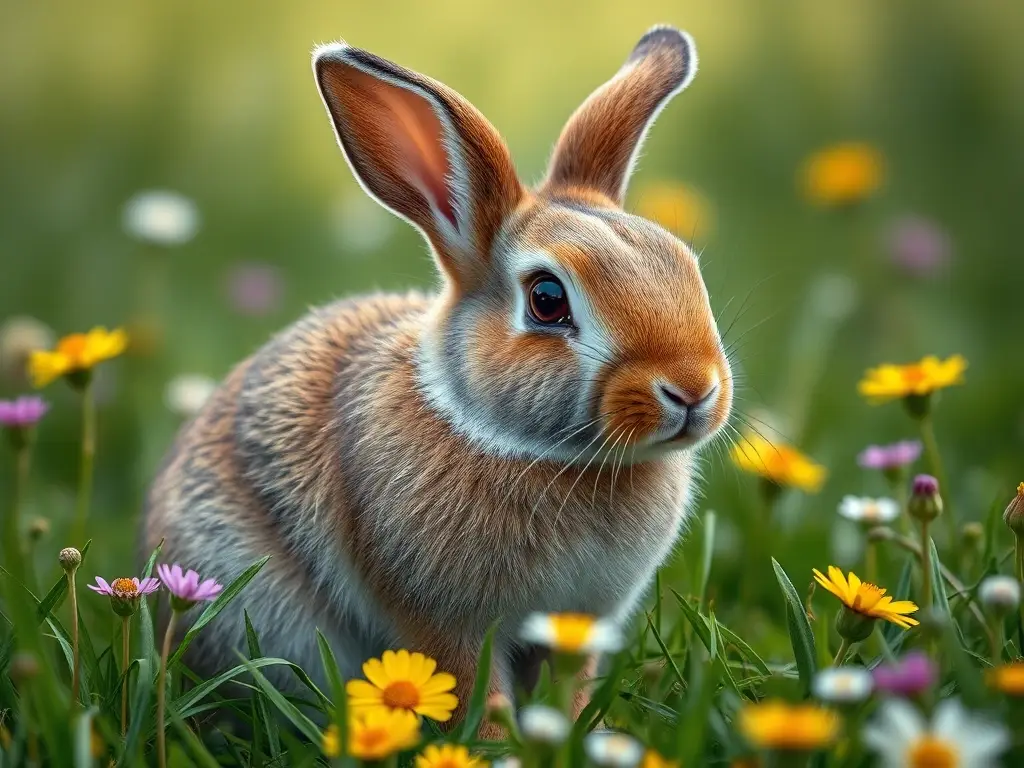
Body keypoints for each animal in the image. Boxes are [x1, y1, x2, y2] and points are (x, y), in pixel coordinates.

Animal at [141, 23, 733, 730]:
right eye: (547, 300)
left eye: (686, 265)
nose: (693, 390)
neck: (526, 447)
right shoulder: (444, 622)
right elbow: (465, 683)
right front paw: (497, 739)